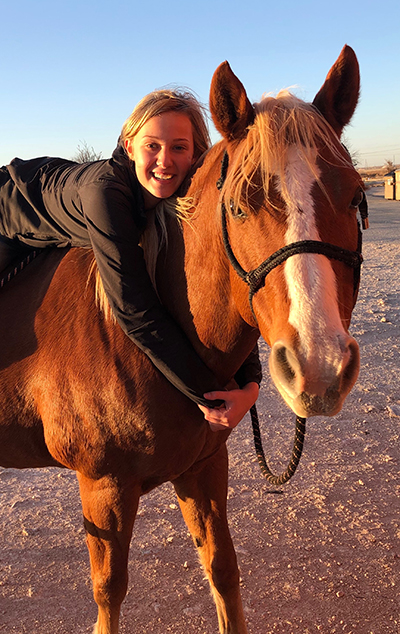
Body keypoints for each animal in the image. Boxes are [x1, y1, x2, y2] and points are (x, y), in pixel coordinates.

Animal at [0, 45, 362, 632]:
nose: (318, 365)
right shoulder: (103, 489)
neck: (145, 345)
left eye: (354, 197)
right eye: (239, 206)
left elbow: (223, 572)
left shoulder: (203, 469)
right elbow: (109, 595)